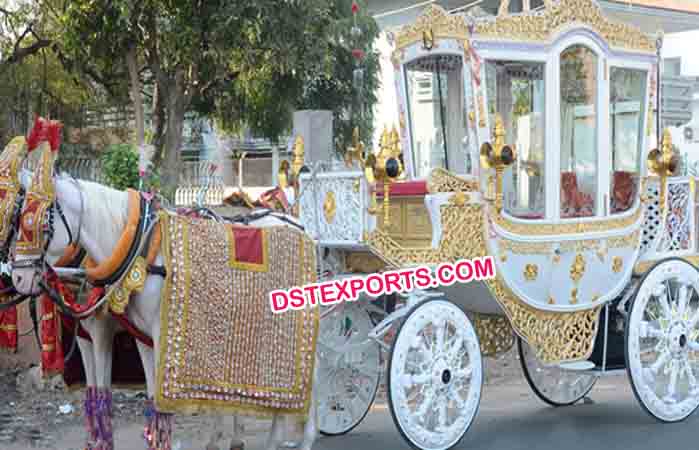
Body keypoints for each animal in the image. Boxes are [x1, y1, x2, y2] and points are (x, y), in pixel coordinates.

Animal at [10, 174, 320, 450]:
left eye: (38, 224)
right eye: (18, 220)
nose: (17, 278)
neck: (138, 247)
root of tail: (299, 226)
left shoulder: (119, 333)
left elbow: (119, 392)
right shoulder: (129, 337)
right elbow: (121, 392)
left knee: (305, 375)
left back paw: (299, 439)